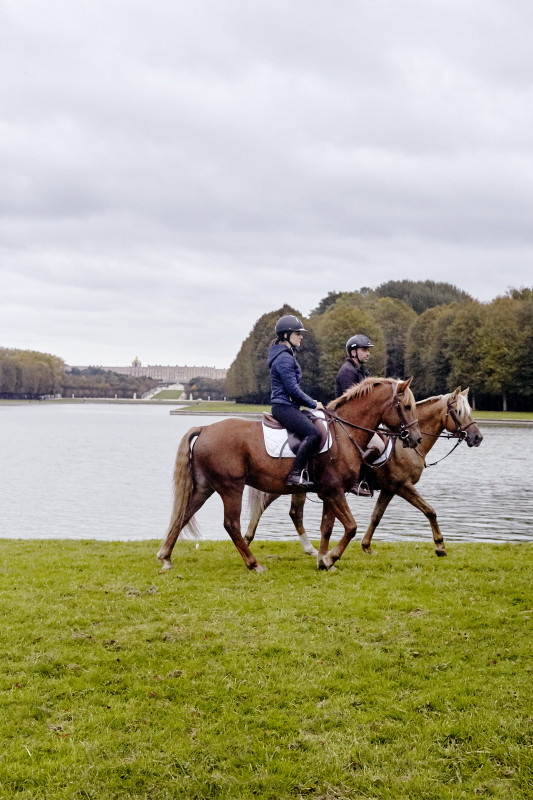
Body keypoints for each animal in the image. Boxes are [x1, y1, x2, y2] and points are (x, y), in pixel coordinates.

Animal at [157, 377, 421, 573]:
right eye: (407, 407)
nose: (416, 438)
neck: (344, 432)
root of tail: (205, 428)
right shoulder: (334, 490)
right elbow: (351, 527)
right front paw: (330, 558)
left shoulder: (330, 492)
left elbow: (327, 527)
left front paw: (322, 560)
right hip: (231, 487)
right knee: (230, 524)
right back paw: (253, 564)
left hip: (205, 487)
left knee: (183, 514)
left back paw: (166, 557)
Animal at [244, 387, 483, 558]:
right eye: (459, 412)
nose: (478, 437)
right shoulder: (403, 486)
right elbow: (430, 510)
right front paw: (440, 546)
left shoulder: (390, 489)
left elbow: (376, 516)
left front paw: (366, 545)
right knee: (282, 509)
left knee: (282, 509)